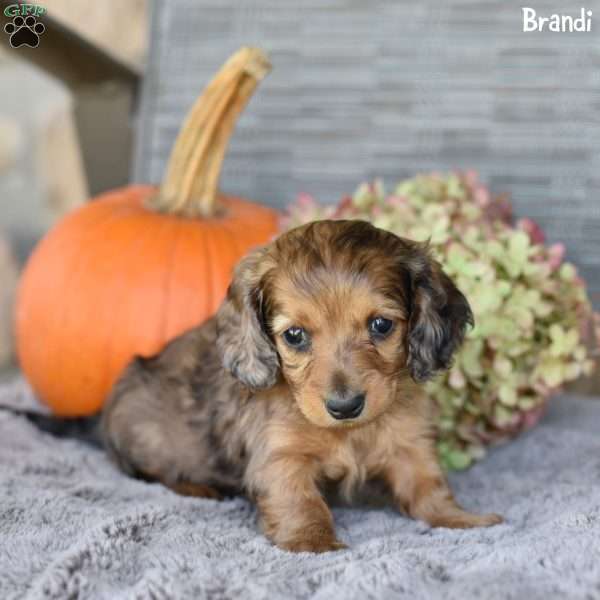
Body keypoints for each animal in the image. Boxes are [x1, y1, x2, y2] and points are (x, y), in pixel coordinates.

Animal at [102, 218, 502, 552]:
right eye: (294, 335)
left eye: (381, 325)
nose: (345, 406)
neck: (349, 433)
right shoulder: (280, 455)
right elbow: (300, 501)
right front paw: (313, 542)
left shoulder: (409, 442)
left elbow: (427, 484)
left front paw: (459, 518)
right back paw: (198, 486)